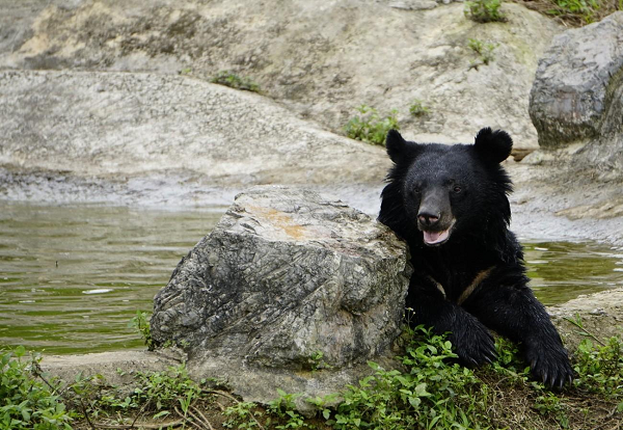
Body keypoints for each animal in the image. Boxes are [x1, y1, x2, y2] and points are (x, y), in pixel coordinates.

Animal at [378, 127, 572, 386]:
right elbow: (425, 300)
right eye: (417, 188)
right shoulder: (416, 264)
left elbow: (520, 302)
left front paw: (555, 366)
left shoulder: (489, 265)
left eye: (456, 188)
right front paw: (478, 344)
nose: (429, 217)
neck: (453, 246)